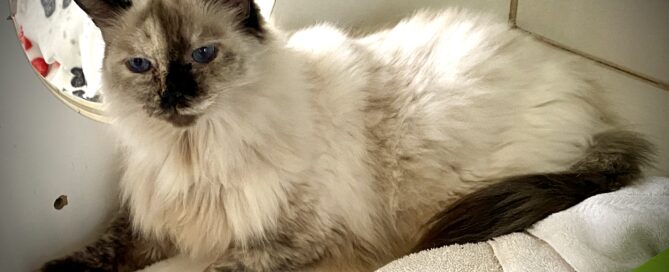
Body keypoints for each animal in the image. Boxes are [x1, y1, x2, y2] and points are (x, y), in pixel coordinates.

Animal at [39, 0, 648, 272]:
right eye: (141, 66)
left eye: (204, 54)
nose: (173, 98)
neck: (201, 149)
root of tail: (592, 105)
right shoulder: (158, 221)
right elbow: (102, 248)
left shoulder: (294, 239)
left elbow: (219, 269)